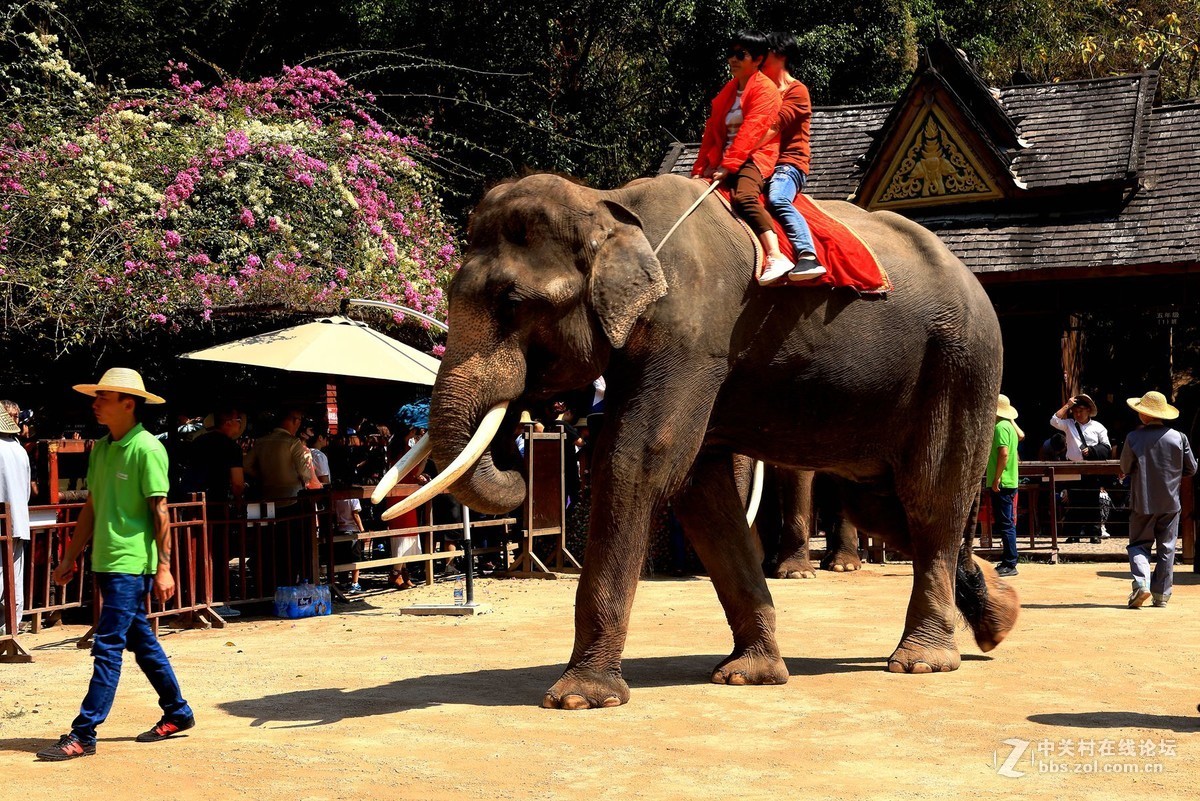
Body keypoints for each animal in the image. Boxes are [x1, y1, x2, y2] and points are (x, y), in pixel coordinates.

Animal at [381, 172, 1020, 709]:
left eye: (512, 303)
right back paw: (999, 621)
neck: (612, 204)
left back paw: (922, 661)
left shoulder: (693, 331)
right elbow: (698, 491)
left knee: (929, 498)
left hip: (961, 362)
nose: (533, 434)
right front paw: (749, 676)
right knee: (888, 509)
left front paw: (579, 699)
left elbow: (639, 462)